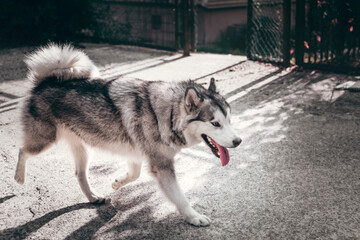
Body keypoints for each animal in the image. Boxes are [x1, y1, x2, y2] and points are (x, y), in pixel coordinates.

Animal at [16, 43, 242, 227]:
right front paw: (193, 217)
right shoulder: (162, 166)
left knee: (80, 174)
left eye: (229, 120)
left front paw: (117, 182)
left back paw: (93, 196)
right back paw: (19, 176)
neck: (166, 114)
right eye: (215, 123)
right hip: (44, 141)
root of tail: (45, 82)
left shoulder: (136, 155)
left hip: (83, 149)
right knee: (22, 151)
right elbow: (179, 197)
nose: (238, 141)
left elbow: (135, 174)